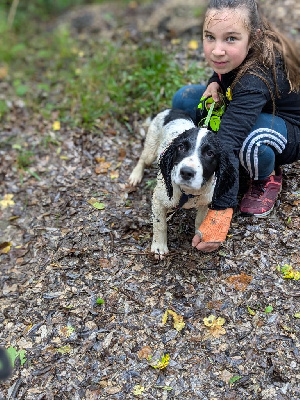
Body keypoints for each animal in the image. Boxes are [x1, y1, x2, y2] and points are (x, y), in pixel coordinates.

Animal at [129, 109, 234, 260]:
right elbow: (160, 225)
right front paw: (159, 247)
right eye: (181, 147)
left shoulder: (205, 202)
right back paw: (135, 175)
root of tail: (172, 110)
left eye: (210, 153)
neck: (188, 193)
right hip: (151, 147)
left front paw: (201, 236)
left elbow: (200, 221)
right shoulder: (158, 199)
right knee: (143, 159)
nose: (186, 172)